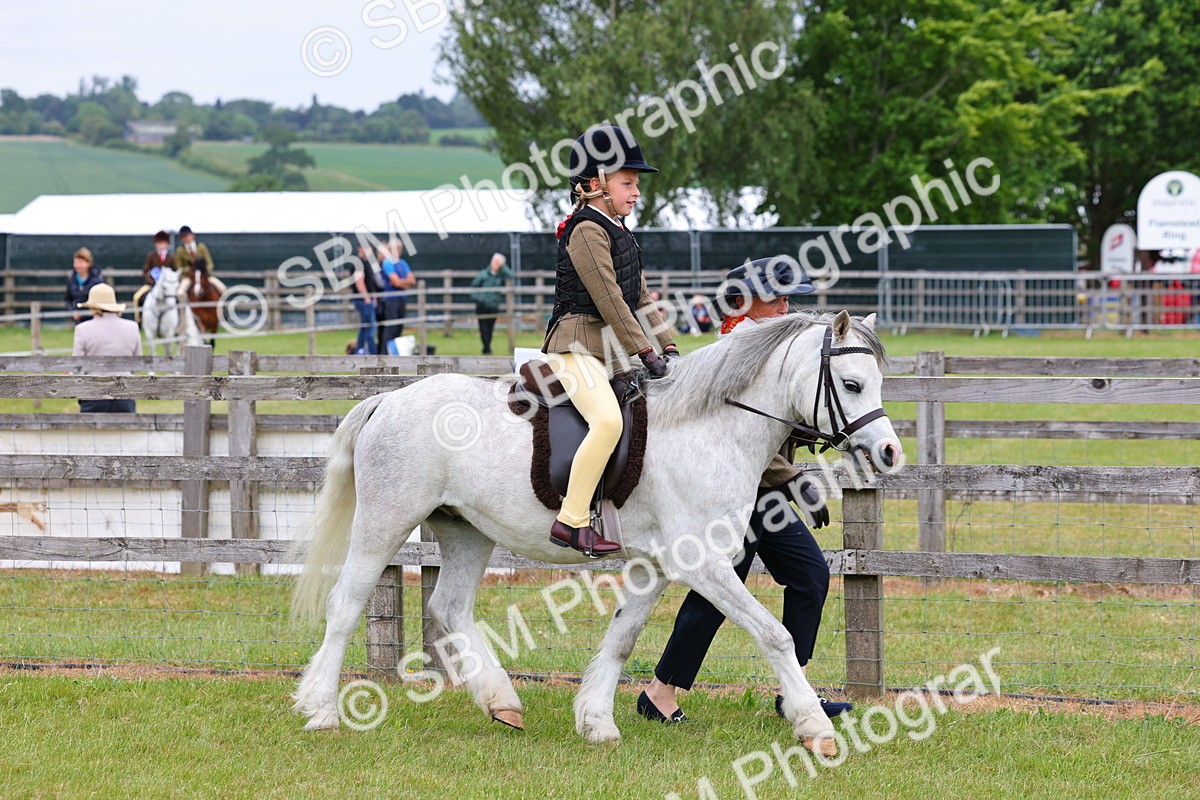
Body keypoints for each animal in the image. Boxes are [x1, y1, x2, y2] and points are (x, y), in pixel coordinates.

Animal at [291, 310, 902, 754]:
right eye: (852, 383)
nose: (890, 453)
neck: (708, 428)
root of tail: (387, 400)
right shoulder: (703, 564)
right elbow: (775, 635)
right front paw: (814, 727)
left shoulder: (655, 566)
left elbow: (622, 638)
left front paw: (597, 722)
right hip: (385, 522)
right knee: (347, 605)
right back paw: (321, 710)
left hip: (466, 530)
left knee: (450, 607)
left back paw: (500, 700)